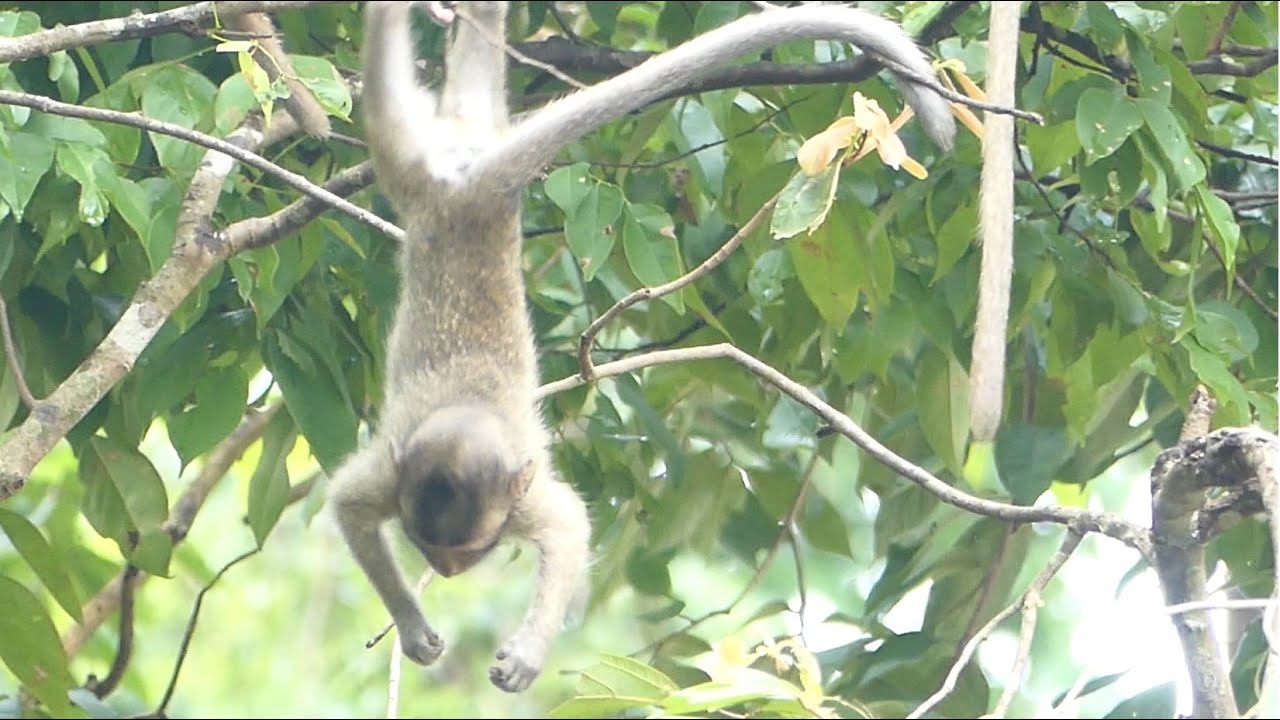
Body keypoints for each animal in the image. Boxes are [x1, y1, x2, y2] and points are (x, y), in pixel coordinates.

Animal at [329, 1, 956, 694]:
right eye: (427, 550)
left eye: (462, 552)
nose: (445, 572)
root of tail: (471, 186)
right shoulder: (396, 478)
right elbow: (349, 505)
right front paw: (415, 628)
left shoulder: (519, 497)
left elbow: (569, 530)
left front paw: (526, 654)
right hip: (410, 160)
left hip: (425, 155)